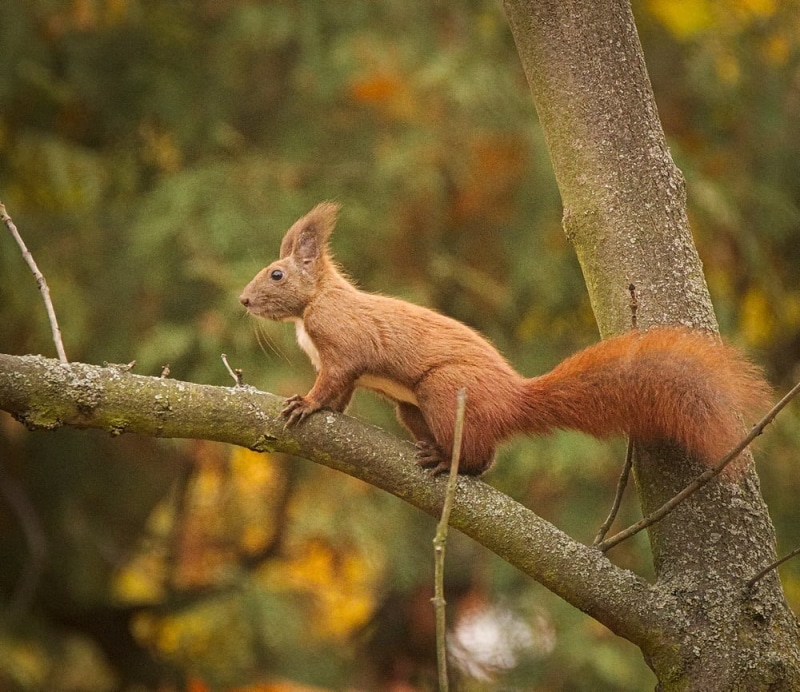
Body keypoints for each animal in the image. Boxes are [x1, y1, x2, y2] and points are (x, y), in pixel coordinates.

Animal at [239, 202, 771, 476]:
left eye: (277, 274)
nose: (243, 301)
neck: (313, 305)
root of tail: (515, 399)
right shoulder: (342, 366)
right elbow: (341, 394)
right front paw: (321, 408)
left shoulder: (343, 341)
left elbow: (334, 379)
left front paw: (305, 404)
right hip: (412, 407)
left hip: (444, 391)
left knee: (480, 457)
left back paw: (449, 461)